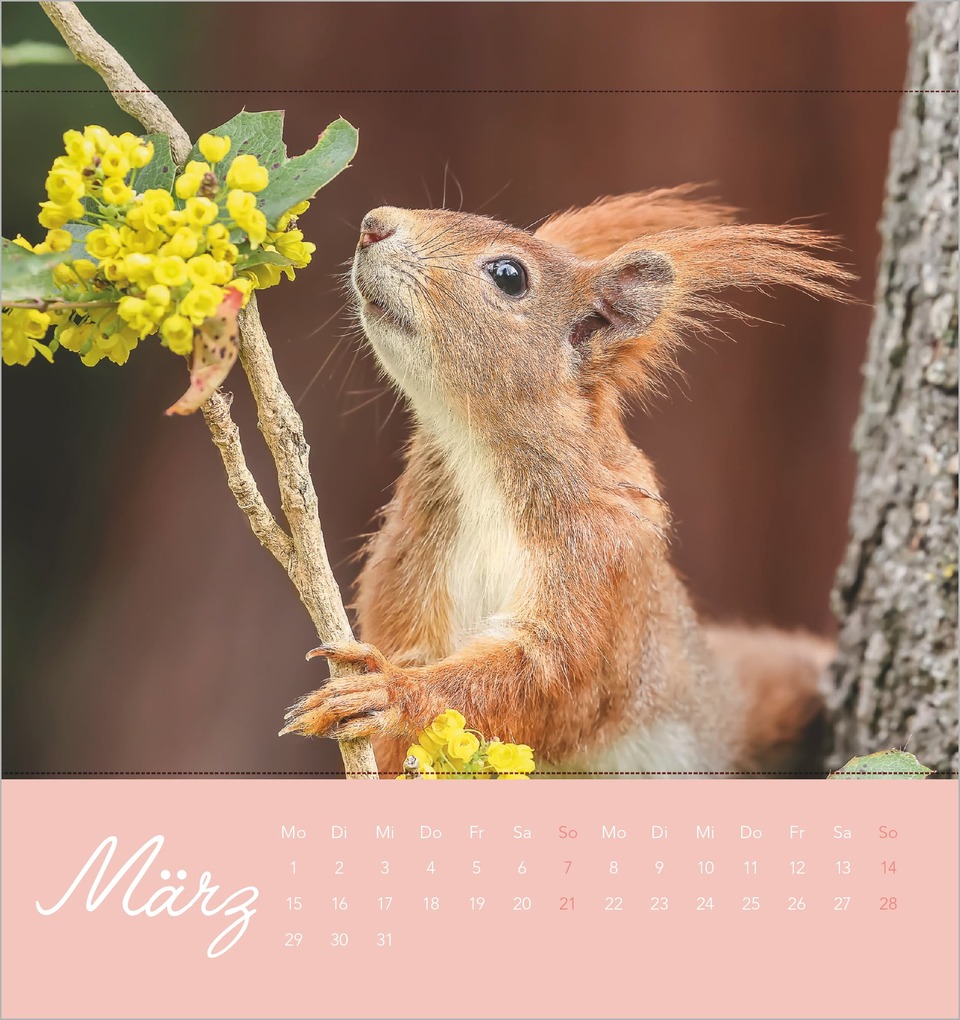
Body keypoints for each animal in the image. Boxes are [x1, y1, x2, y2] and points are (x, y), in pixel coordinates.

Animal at [279, 186, 852, 776]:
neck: (478, 457)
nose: (374, 225)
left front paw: (390, 693)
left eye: (509, 275)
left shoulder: (604, 560)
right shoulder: (410, 556)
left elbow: (550, 678)